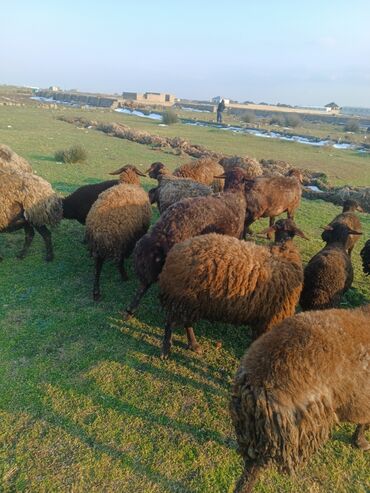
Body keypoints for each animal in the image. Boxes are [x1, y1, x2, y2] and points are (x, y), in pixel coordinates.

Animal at [85, 165, 152, 300]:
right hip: (121, 240)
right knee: (118, 261)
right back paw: (124, 277)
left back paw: (96, 292)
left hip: (98, 246)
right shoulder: (141, 229)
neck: (129, 182)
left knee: (97, 266)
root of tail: (101, 228)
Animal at [159, 219, 306, 358]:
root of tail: (174, 252)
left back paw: (194, 345)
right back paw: (166, 349)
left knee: (186, 323)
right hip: (180, 299)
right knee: (169, 323)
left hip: (191, 301)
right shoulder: (269, 319)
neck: (282, 247)